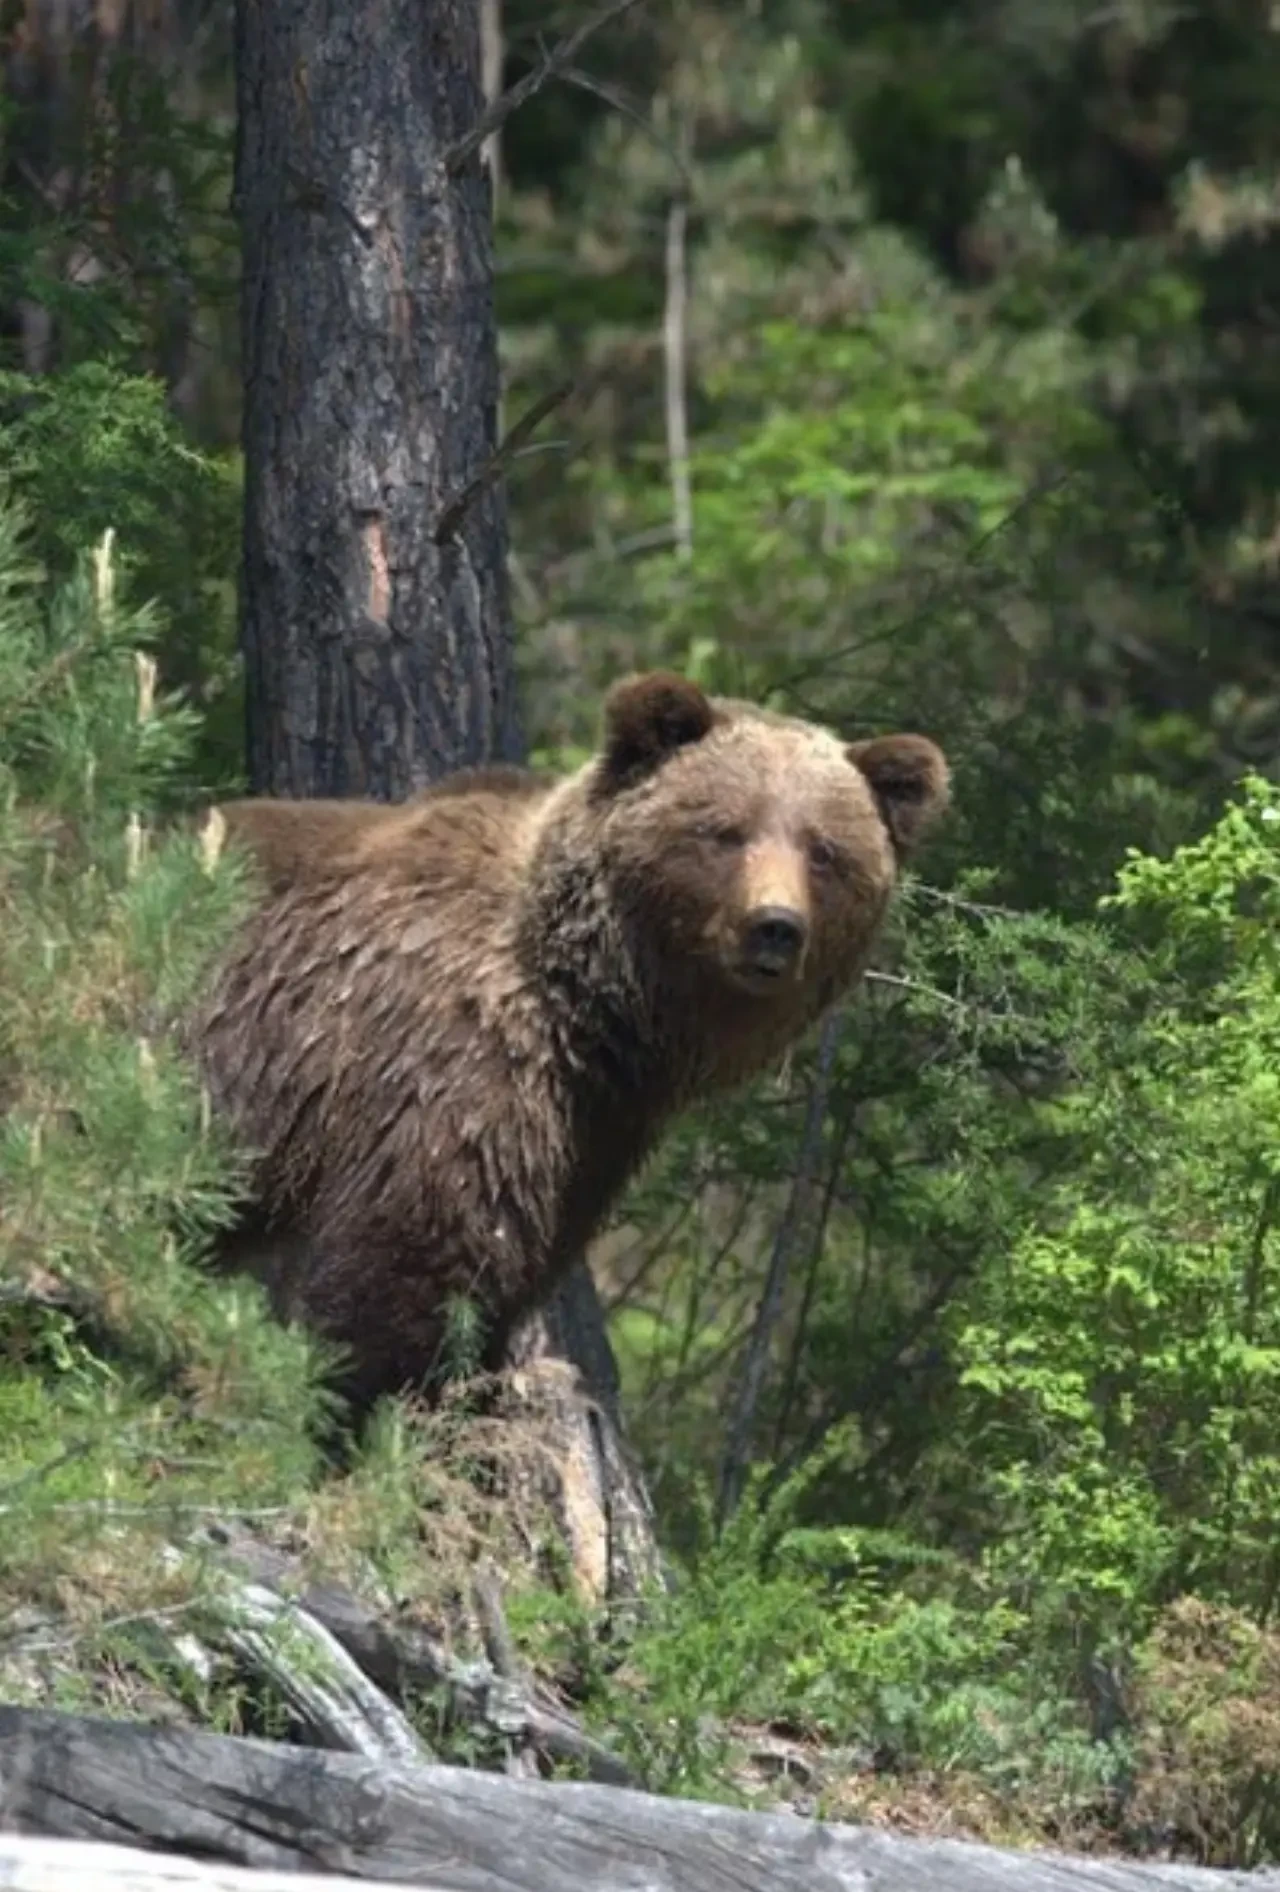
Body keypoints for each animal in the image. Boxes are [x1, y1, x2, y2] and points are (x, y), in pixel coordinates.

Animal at [193, 672, 949, 1421]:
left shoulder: (592, 1131)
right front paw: (376, 1391)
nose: (775, 927)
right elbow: (409, 1254)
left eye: (824, 851)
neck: (591, 1009)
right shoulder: (443, 1060)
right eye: (725, 830)